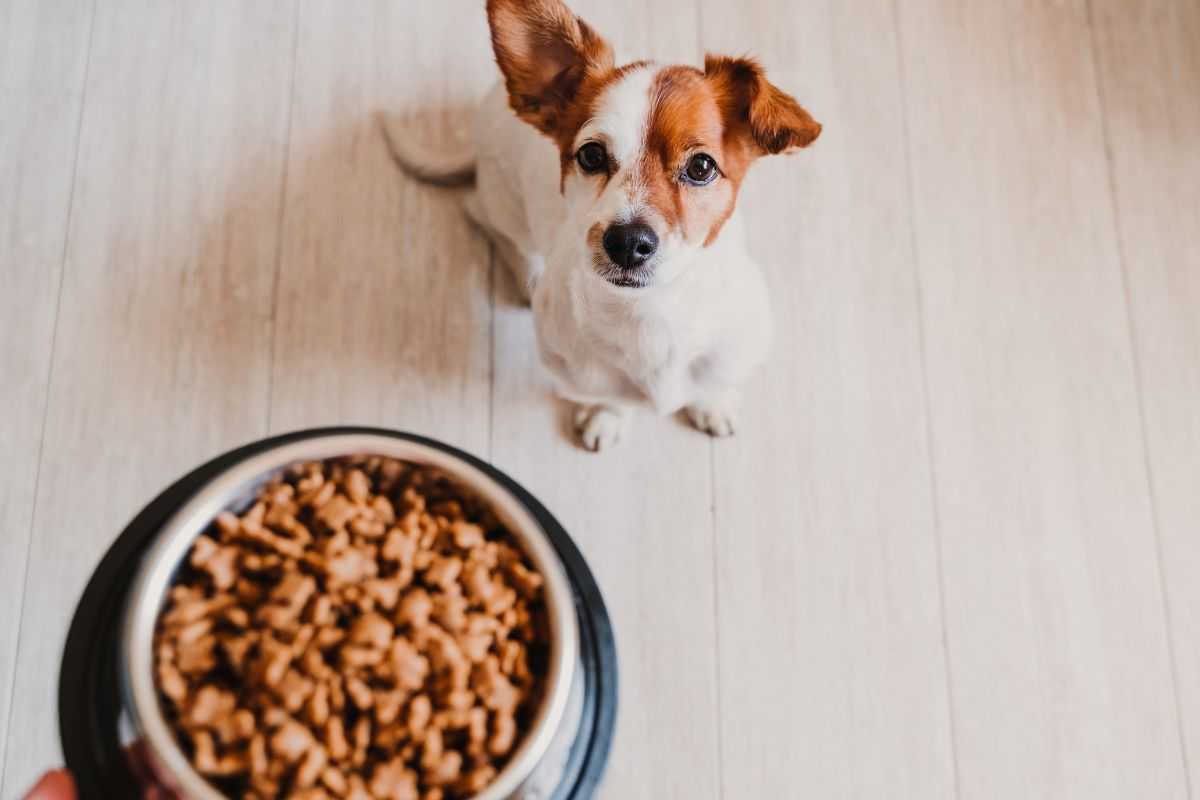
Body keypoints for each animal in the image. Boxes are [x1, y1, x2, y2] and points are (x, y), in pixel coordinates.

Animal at [388, 0, 820, 450]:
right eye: (592, 155)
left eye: (701, 166)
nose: (627, 241)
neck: (650, 312)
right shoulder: (580, 375)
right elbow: (609, 397)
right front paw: (606, 416)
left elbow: (712, 384)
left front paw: (712, 404)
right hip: (502, 203)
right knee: (484, 217)